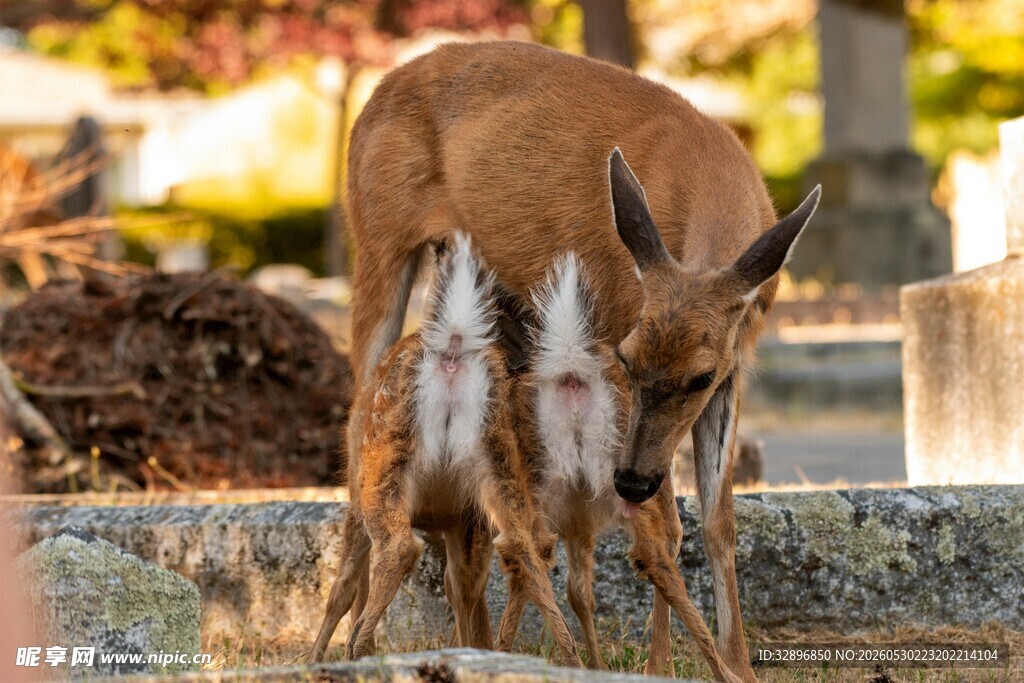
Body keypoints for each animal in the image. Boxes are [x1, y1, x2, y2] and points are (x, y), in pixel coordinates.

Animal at [308, 234, 581, 666]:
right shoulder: (463, 520)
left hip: (382, 462)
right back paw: (569, 659)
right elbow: (463, 589)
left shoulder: (352, 490)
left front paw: (312, 658)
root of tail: (451, 352)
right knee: (525, 546)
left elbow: (343, 585)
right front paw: (472, 647)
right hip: (497, 459)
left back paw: (355, 651)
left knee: (399, 547)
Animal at [341, 40, 820, 682]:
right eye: (629, 358)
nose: (631, 478)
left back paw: (475, 643)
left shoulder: (734, 369)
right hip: (378, 240)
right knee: (357, 429)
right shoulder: (618, 326)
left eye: (700, 376)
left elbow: (719, 521)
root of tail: (376, 93)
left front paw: (739, 666)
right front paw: (661, 667)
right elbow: (669, 527)